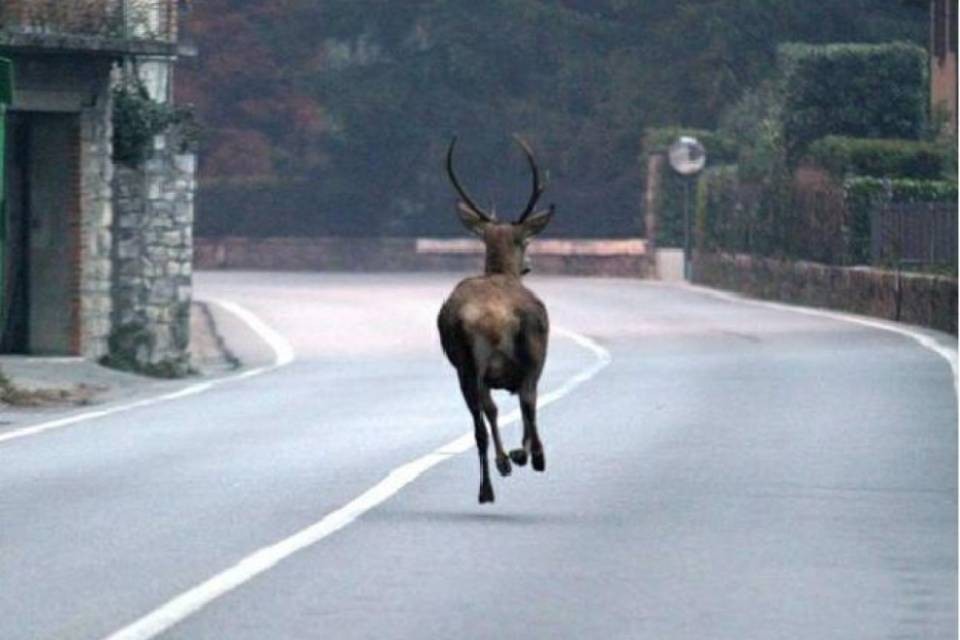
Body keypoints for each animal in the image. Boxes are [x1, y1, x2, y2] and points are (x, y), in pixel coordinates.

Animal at [437, 135, 555, 504]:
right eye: (526, 240)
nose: (528, 265)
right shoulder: (537, 356)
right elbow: (529, 403)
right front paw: (526, 453)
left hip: (463, 365)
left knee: (480, 419)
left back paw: (487, 487)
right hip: (526, 350)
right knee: (522, 400)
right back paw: (524, 458)